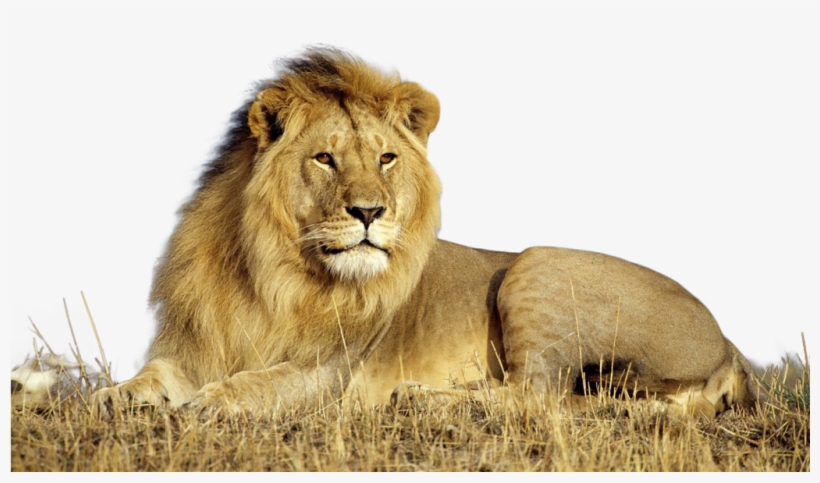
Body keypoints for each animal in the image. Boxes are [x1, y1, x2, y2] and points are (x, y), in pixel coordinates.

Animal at [92, 48, 762, 418]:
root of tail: (729, 342)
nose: (370, 212)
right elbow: (154, 375)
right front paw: (110, 396)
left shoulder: (331, 372)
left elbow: (265, 381)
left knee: (538, 397)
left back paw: (421, 398)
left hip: (536, 264)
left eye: (386, 158)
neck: (270, 271)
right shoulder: (195, 346)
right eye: (325, 159)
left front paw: (215, 401)